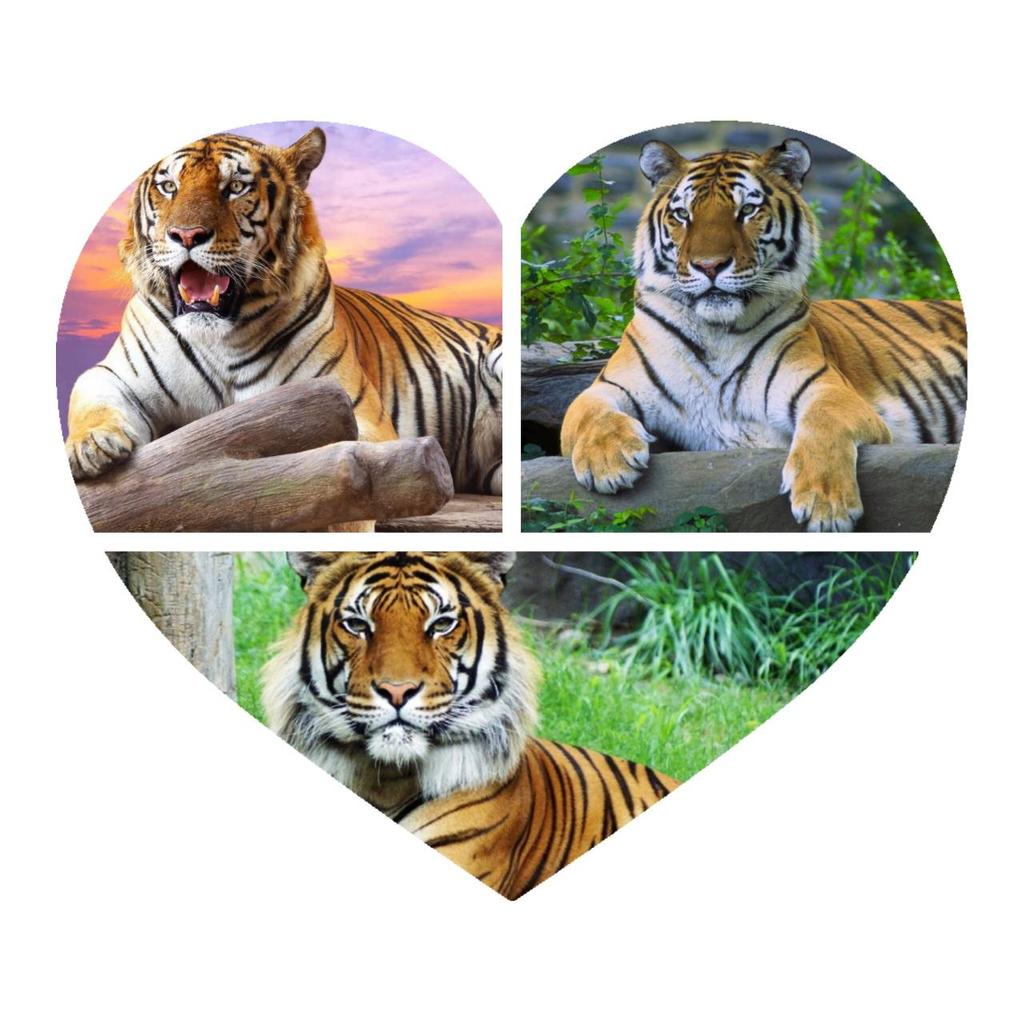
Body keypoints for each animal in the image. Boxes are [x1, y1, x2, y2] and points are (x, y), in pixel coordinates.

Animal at [64, 128, 502, 506]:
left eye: (235, 187)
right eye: (169, 187)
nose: (187, 235)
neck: (219, 337)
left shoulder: (355, 413)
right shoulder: (119, 374)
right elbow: (90, 394)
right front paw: (90, 447)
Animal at [561, 138, 967, 532]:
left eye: (747, 211)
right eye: (683, 215)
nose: (709, 265)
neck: (717, 333)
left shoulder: (828, 389)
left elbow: (822, 424)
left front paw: (827, 506)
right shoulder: (610, 385)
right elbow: (586, 412)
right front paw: (608, 464)